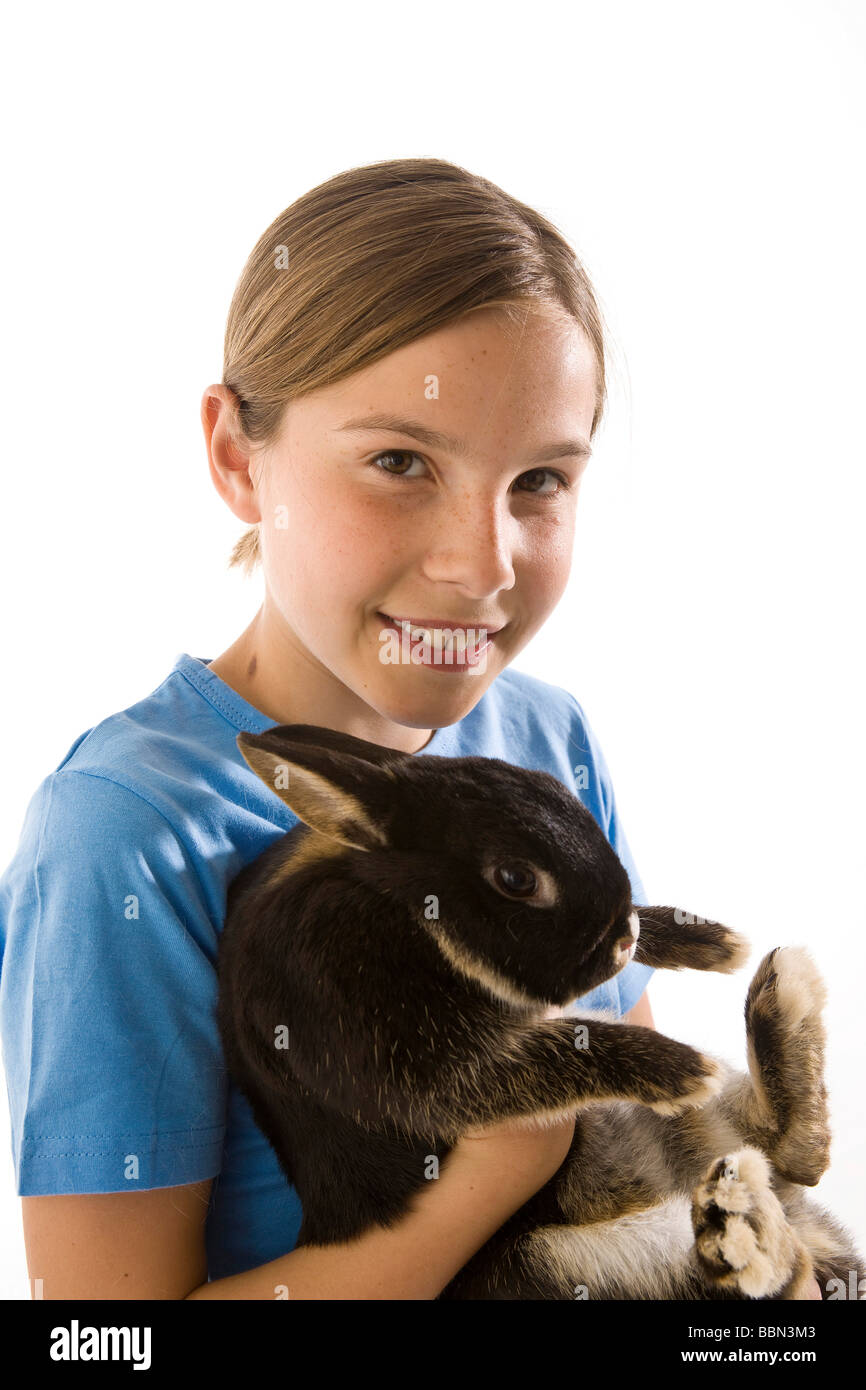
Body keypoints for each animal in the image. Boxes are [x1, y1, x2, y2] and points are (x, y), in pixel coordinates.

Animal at [216, 723, 864, 1300]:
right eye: (515, 878)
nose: (624, 937)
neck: (390, 898)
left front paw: (713, 942)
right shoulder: (399, 1051)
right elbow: (548, 1053)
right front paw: (681, 1069)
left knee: (795, 1157)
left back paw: (783, 990)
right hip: (547, 1265)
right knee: (774, 1262)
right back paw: (736, 1219)